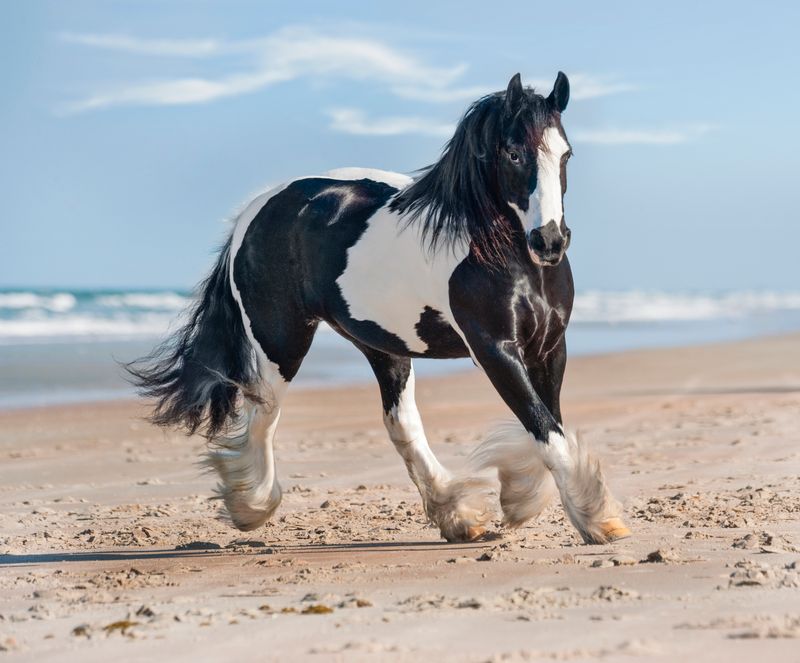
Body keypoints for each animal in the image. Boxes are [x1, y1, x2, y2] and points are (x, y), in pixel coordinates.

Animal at [128, 75, 632, 548]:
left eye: (565, 154)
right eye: (512, 153)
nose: (549, 241)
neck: (507, 258)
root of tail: (253, 214)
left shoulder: (548, 347)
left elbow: (547, 423)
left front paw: (522, 497)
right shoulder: (494, 350)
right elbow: (543, 425)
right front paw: (598, 519)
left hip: (382, 344)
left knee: (399, 422)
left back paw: (456, 515)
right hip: (281, 343)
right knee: (263, 417)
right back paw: (250, 506)